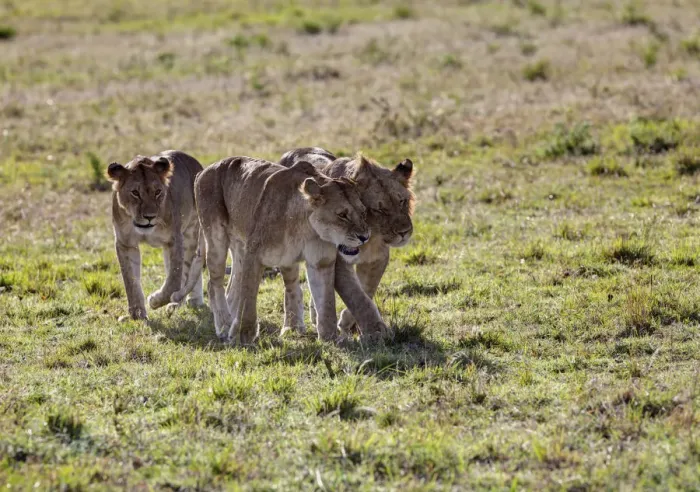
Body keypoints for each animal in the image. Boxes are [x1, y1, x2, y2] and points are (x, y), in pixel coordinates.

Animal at [107, 150, 204, 320]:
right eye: (135, 193)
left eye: (158, 192)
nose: (150, 217)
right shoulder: (125, 243)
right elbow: (131, 280)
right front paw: (137, 313)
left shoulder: (175, 240)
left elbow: (174, 280)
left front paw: (154, 300)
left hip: (191, 234)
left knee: (188, 270)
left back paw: (183, 302)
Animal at [194, 156, 389, 345]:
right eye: (342, 215)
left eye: (363, 212)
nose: (365, 237)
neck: (305, 226)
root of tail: (205, 170)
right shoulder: (254, 253)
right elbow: (248, 298)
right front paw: (242, 335)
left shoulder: (322, 261)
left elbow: (326, 302)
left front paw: (330, 339)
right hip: (216, 237)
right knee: (214, 284)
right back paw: (225, 325)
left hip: (242, 245)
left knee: (234, 286)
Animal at [279, 148, 414, 334]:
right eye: (379, 210)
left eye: (402, 201)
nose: (404, 232)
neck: (372, 237)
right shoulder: (338, 262)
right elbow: (355, 296)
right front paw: (376, 330)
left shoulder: (377, 259)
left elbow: (366, 290)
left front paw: (347, 322)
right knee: (291, 286)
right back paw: (291, 327)